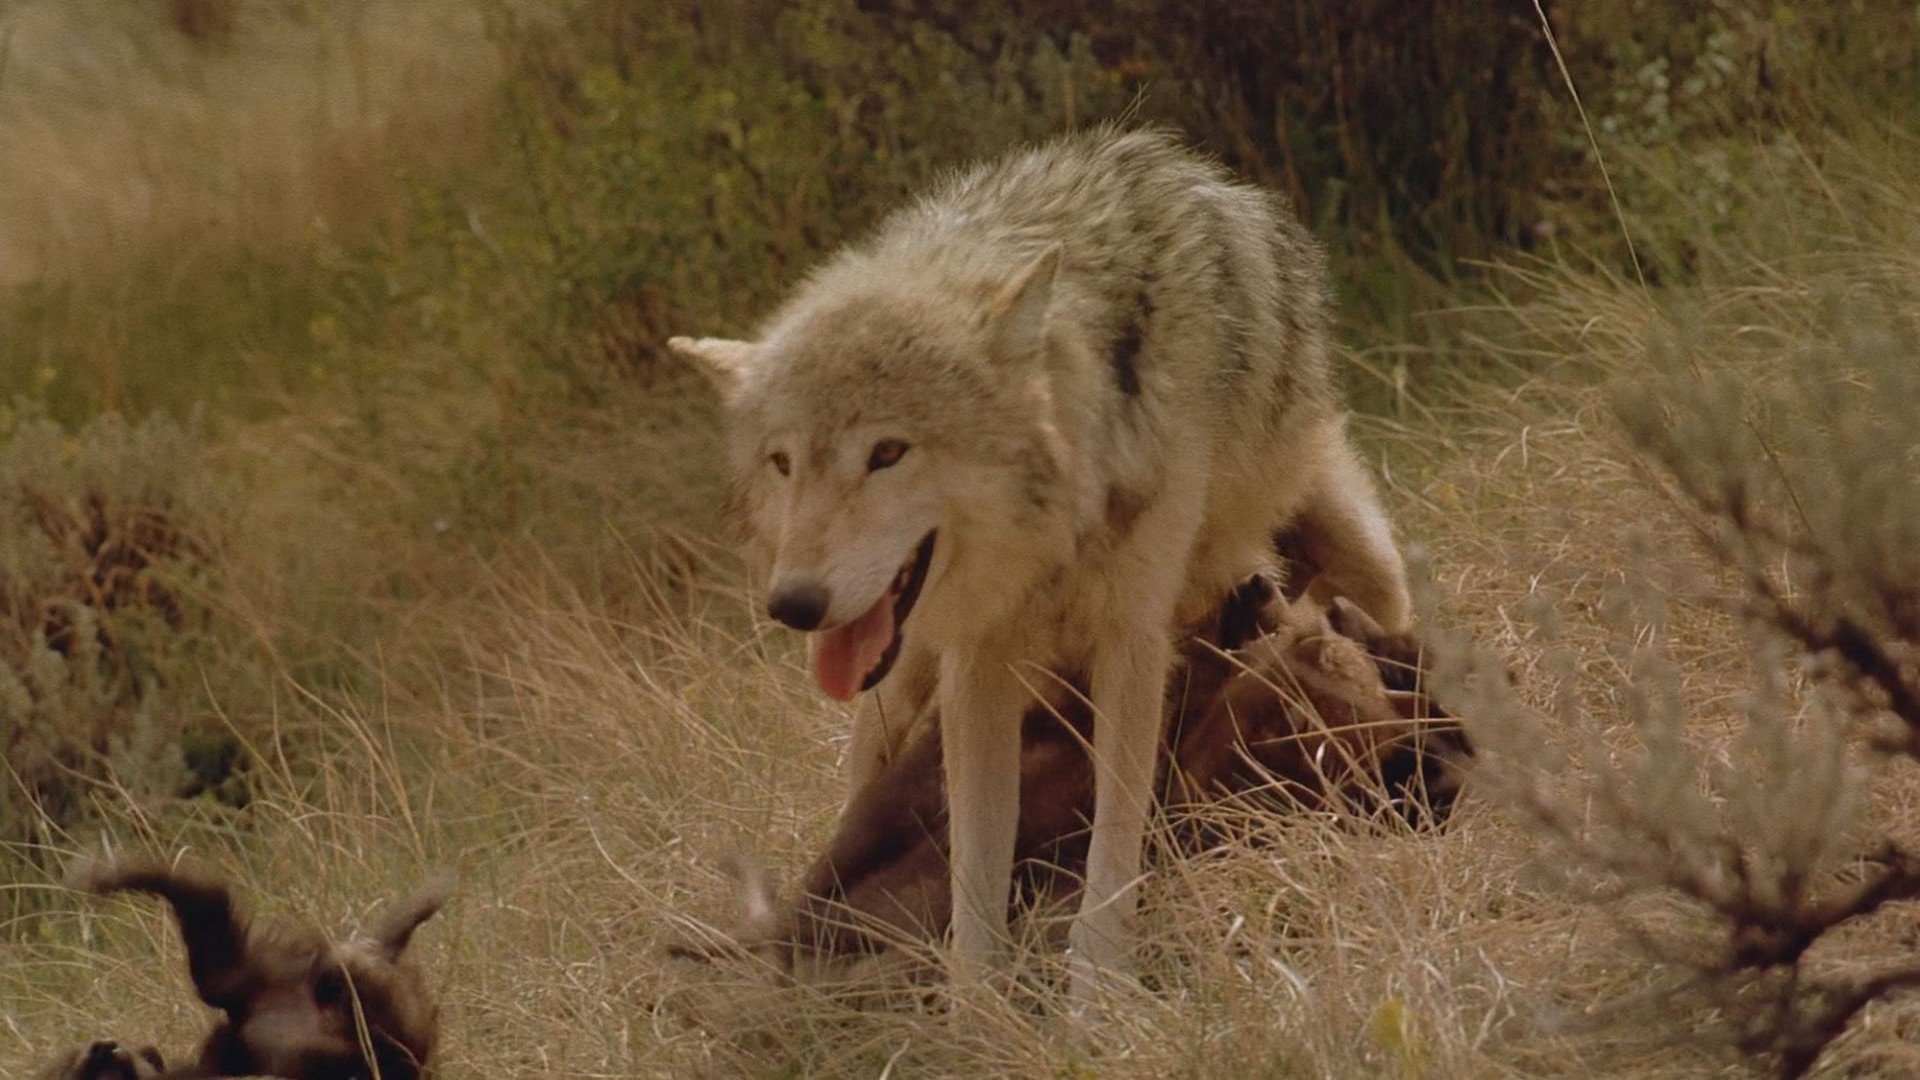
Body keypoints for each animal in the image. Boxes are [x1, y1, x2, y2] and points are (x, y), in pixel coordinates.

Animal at [669, 127, 1411, 990]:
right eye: (783, 463)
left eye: (887, 452)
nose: (793, 604)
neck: (1051, 544)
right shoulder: (978, 664)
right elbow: (976, 881)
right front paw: (978, 1006)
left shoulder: (1131, 644)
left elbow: (1110, 859)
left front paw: (1100, 996)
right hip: (891, 697)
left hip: (1369, 564)